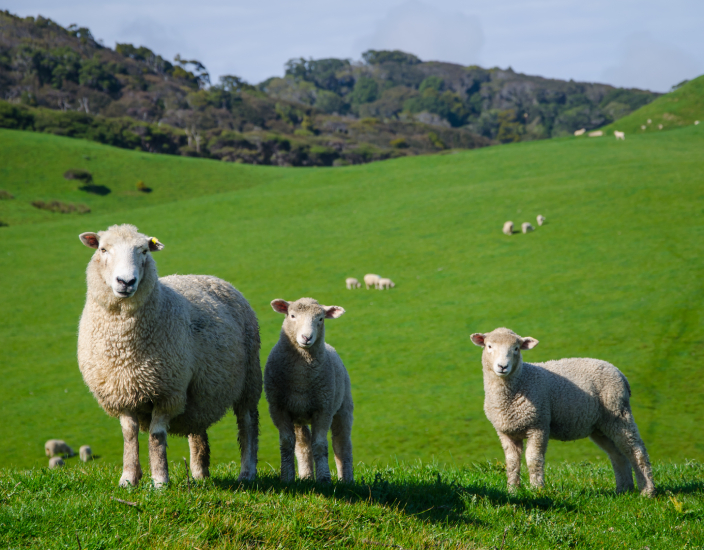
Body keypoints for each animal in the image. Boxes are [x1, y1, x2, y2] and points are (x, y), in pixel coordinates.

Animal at [77, 224, 262, 488]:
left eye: (144, 251)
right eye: (103, 249)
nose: (126, 281)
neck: (124, 347)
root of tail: (213, 278)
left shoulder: (167, 391)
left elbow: (156, 436)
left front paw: (160, 481)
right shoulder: (121, 392)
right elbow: (129, 435)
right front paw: (128, 478)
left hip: (249, 379)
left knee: (247, 424)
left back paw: (247, 472)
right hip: (200, 392)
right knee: (198, 430)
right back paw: (199, 474)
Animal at [264, 300, 354, 486]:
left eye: (320, 318)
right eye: (292, 315)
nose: (307, 338)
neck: (301, 379)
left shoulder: (323, 409)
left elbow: (319, 444)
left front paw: (324, 479)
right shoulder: (278, 408)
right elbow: (287, 443)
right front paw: (287, 477)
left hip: (343, 407)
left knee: (342, 444)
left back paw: (346, 480)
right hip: (299, 416)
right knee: (303, 445)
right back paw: (306, 476)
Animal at [470, 328, 656, 500]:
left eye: (516, 348)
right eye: (489, 346)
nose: (502, 367)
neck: (520, 381)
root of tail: (620, 374)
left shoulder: (538, 425)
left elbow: (534, 459)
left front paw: (537, 490)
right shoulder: (506, 432)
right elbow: (512, 463)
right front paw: (512, 492)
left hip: (618, 413)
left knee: (636, 450)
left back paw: (647, 491)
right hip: (600, 426)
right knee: (618, 454)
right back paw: (623, 490)